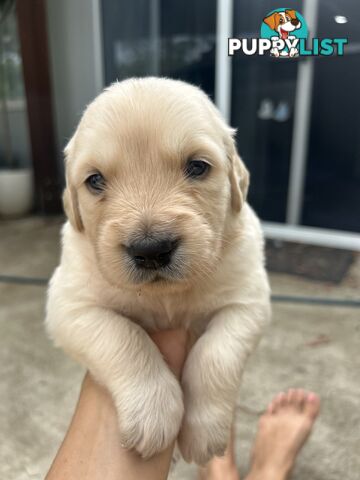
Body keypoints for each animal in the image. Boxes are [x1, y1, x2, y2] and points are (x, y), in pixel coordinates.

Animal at [45, 78, 270, 464]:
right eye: (95, 180)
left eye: (197, 167)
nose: (150, 250)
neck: (165, 295)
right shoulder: (68, 304)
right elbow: (123, 336)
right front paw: (153, 412)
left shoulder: (249, 299)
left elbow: (216, 352)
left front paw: (203, 431)